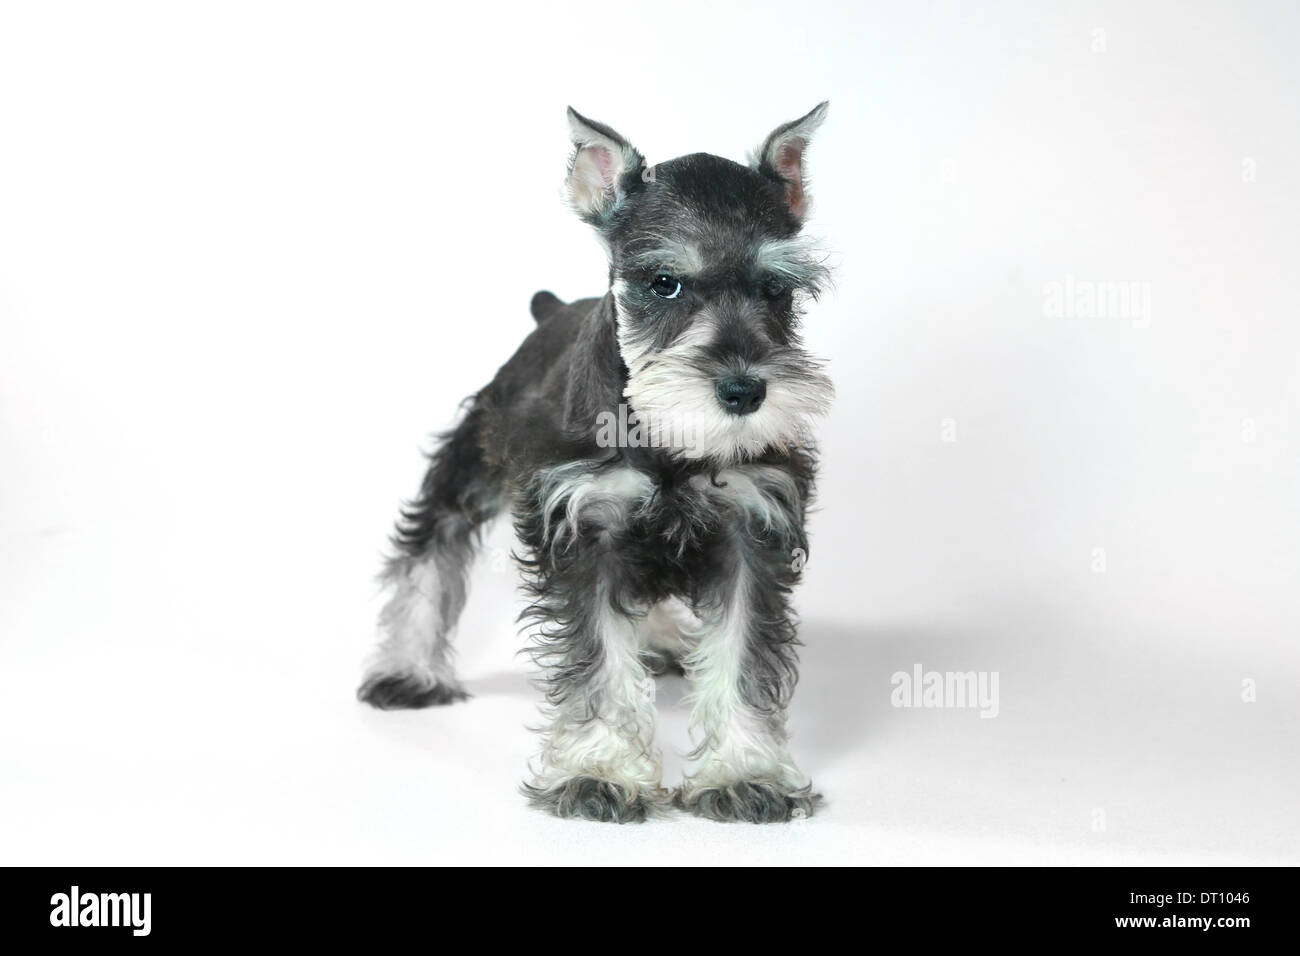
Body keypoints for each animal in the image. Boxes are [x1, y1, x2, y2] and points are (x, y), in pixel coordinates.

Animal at [361, 102, 832, 822]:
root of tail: (551, 311)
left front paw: (743, 774)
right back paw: (406, 670)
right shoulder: (583, 527)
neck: (668, 440)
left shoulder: (752, 530)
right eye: (664, 283)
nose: (744, 390)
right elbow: (600, 660)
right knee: (430, 550)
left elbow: (741, 656)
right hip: (469, 465)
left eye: (776, 288)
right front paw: (598, 773)